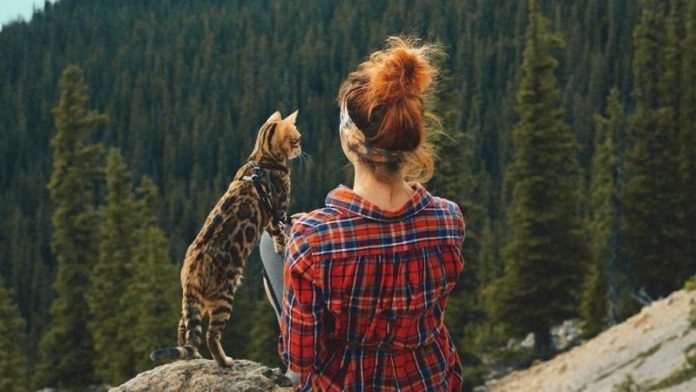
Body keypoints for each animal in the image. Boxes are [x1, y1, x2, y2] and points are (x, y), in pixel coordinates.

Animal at [151, 109, 300, 368]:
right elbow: (280, 234)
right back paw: (224, 361)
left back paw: (192, 356)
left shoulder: (271, 218)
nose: (300, 148)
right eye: (297, 139)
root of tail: (190, 275)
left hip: (194, 303)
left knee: (185, 330)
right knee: (211, 335)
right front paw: (283, 247)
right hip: (224, 296)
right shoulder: (277, 212)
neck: (262, 157)